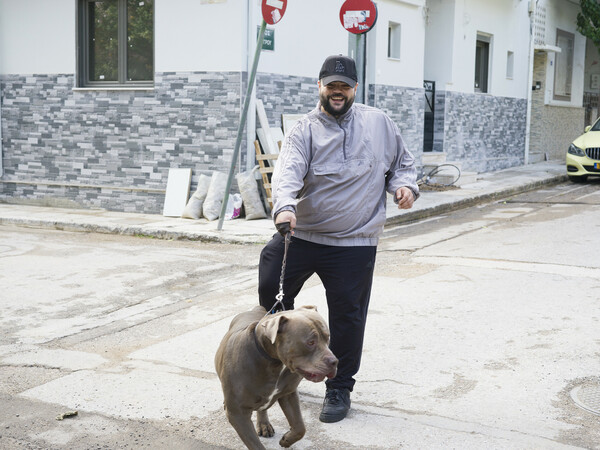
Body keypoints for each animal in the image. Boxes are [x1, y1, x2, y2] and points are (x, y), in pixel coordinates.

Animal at [214, 304, 338, 448]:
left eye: (327, 337)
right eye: (311, 342)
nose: (335, 362)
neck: (273, 361)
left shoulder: (288, 393)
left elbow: (300, 427)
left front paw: (286, 440)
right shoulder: (238, 414)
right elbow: (255, 445)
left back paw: (264, 425)